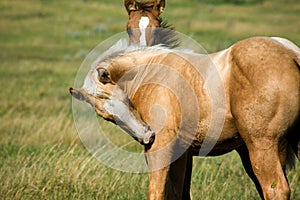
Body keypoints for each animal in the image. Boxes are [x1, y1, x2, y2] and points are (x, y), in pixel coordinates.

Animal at [71, 36, 300, 200]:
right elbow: (177, 193)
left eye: (124, 100)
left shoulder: (161, 147)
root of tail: (291, 54)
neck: (152, 71)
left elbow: (156, 192)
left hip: (261, 146)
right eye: (108, 118)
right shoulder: (181, 153)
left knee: (275, 189)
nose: (147, 137)